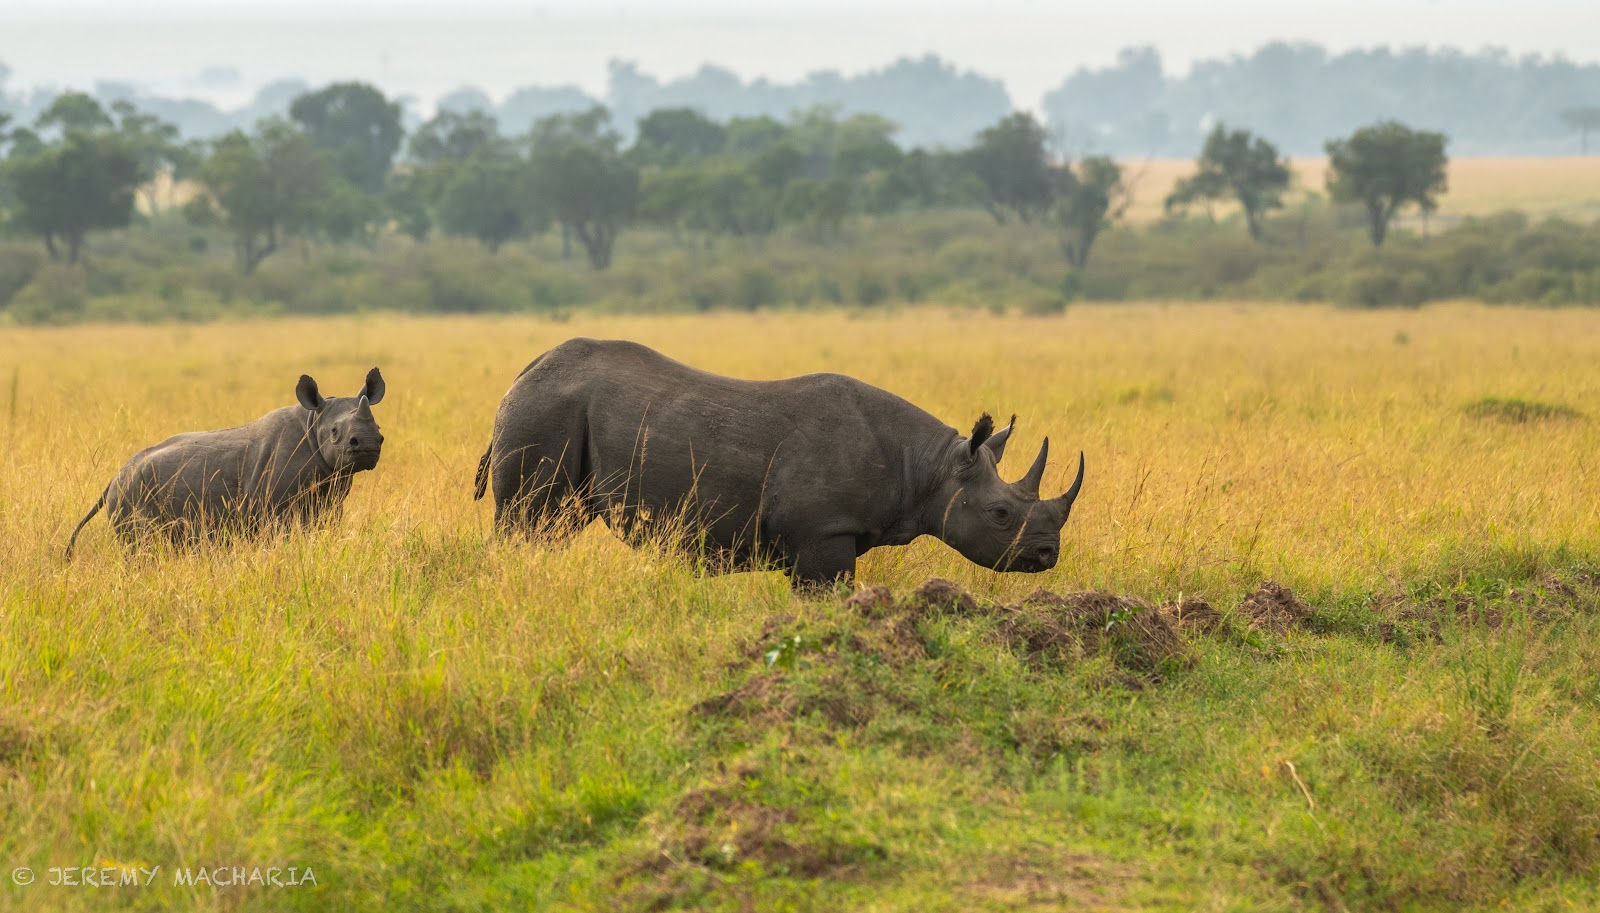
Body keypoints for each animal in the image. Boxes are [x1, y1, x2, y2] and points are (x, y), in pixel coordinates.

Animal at [66, 368, 387, 557]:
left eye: (380, 430)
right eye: (334, 432)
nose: (368, 444)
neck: (313, 422)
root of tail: (114, 478)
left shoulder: (329, 500)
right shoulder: (273, 511)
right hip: (130, 492)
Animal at [473, 339, 1083, 585]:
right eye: (1001, 515)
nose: (1047, 556)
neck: (929, 465)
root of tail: (524, 372)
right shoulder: (823, 533)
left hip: (554, 409)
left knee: (553, 525)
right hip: (545, 409)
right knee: (529, 520)